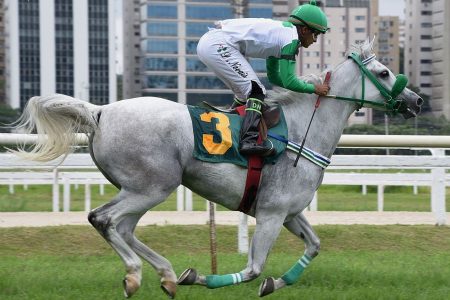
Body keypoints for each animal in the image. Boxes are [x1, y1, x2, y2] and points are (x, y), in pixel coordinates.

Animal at [13, 41, 422, 298]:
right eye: (385, 72)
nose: (416, 101)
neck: (302, 129)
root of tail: (100, 111)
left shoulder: (289, 212)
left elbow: (315, 245)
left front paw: (276, 283)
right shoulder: (272, 213)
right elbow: (254, 267)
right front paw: (200, 277)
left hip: (142, 189)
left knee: (123, 228)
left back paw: (164, 275)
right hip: (152, 187)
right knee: (104, 219)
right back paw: (136, 275)